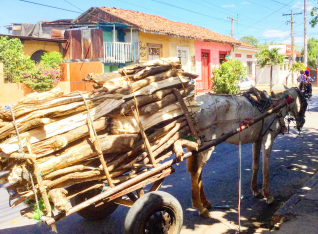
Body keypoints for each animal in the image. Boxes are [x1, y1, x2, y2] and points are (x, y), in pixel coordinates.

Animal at [188, 88, 306, 218]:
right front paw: (268, 196)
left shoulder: (257, 139)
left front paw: (256, 190)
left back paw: (205, 202)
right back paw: (200, 207)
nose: (302, 122)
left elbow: (256, 165)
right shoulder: (268, 138)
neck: (275, 107)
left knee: (197, 172)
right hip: (207, 146)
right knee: (196, 172)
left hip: (199, 147)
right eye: (304, 103)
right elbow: (265, 169)